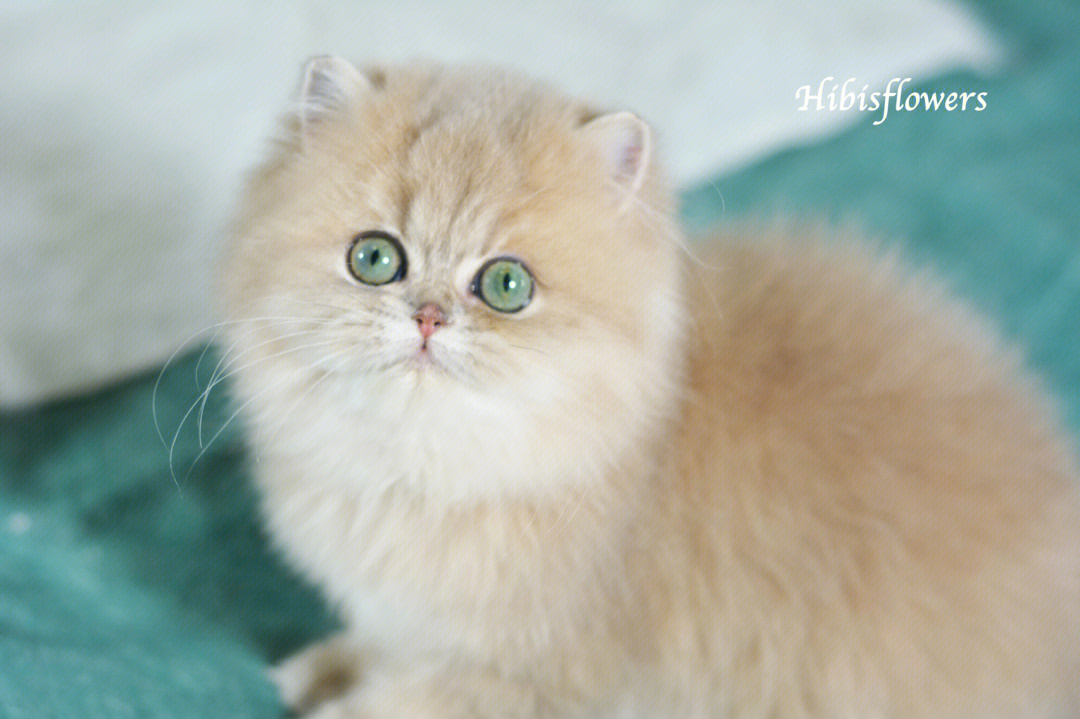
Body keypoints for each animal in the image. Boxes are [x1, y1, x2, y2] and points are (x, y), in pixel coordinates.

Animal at [219, 57, 1080, 716]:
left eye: (505, 285)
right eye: (375, 259)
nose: (428, 317)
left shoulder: (530, 680)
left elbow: (396, 700)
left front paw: (337, 696)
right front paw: (325, 665)